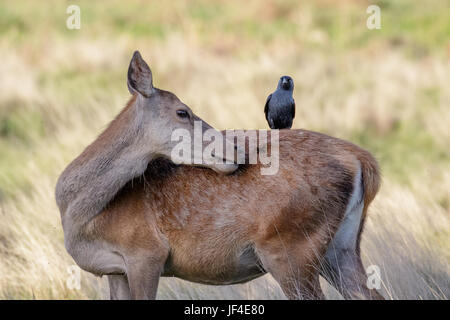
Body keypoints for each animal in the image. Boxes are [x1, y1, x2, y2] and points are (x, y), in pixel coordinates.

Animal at [55, 50, 384, 300]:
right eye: (182, 112)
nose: (236, 149)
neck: (81, 218)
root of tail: (362, 160)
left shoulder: (146, 252)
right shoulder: (116, 269)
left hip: (290, 246)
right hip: (341, 246)